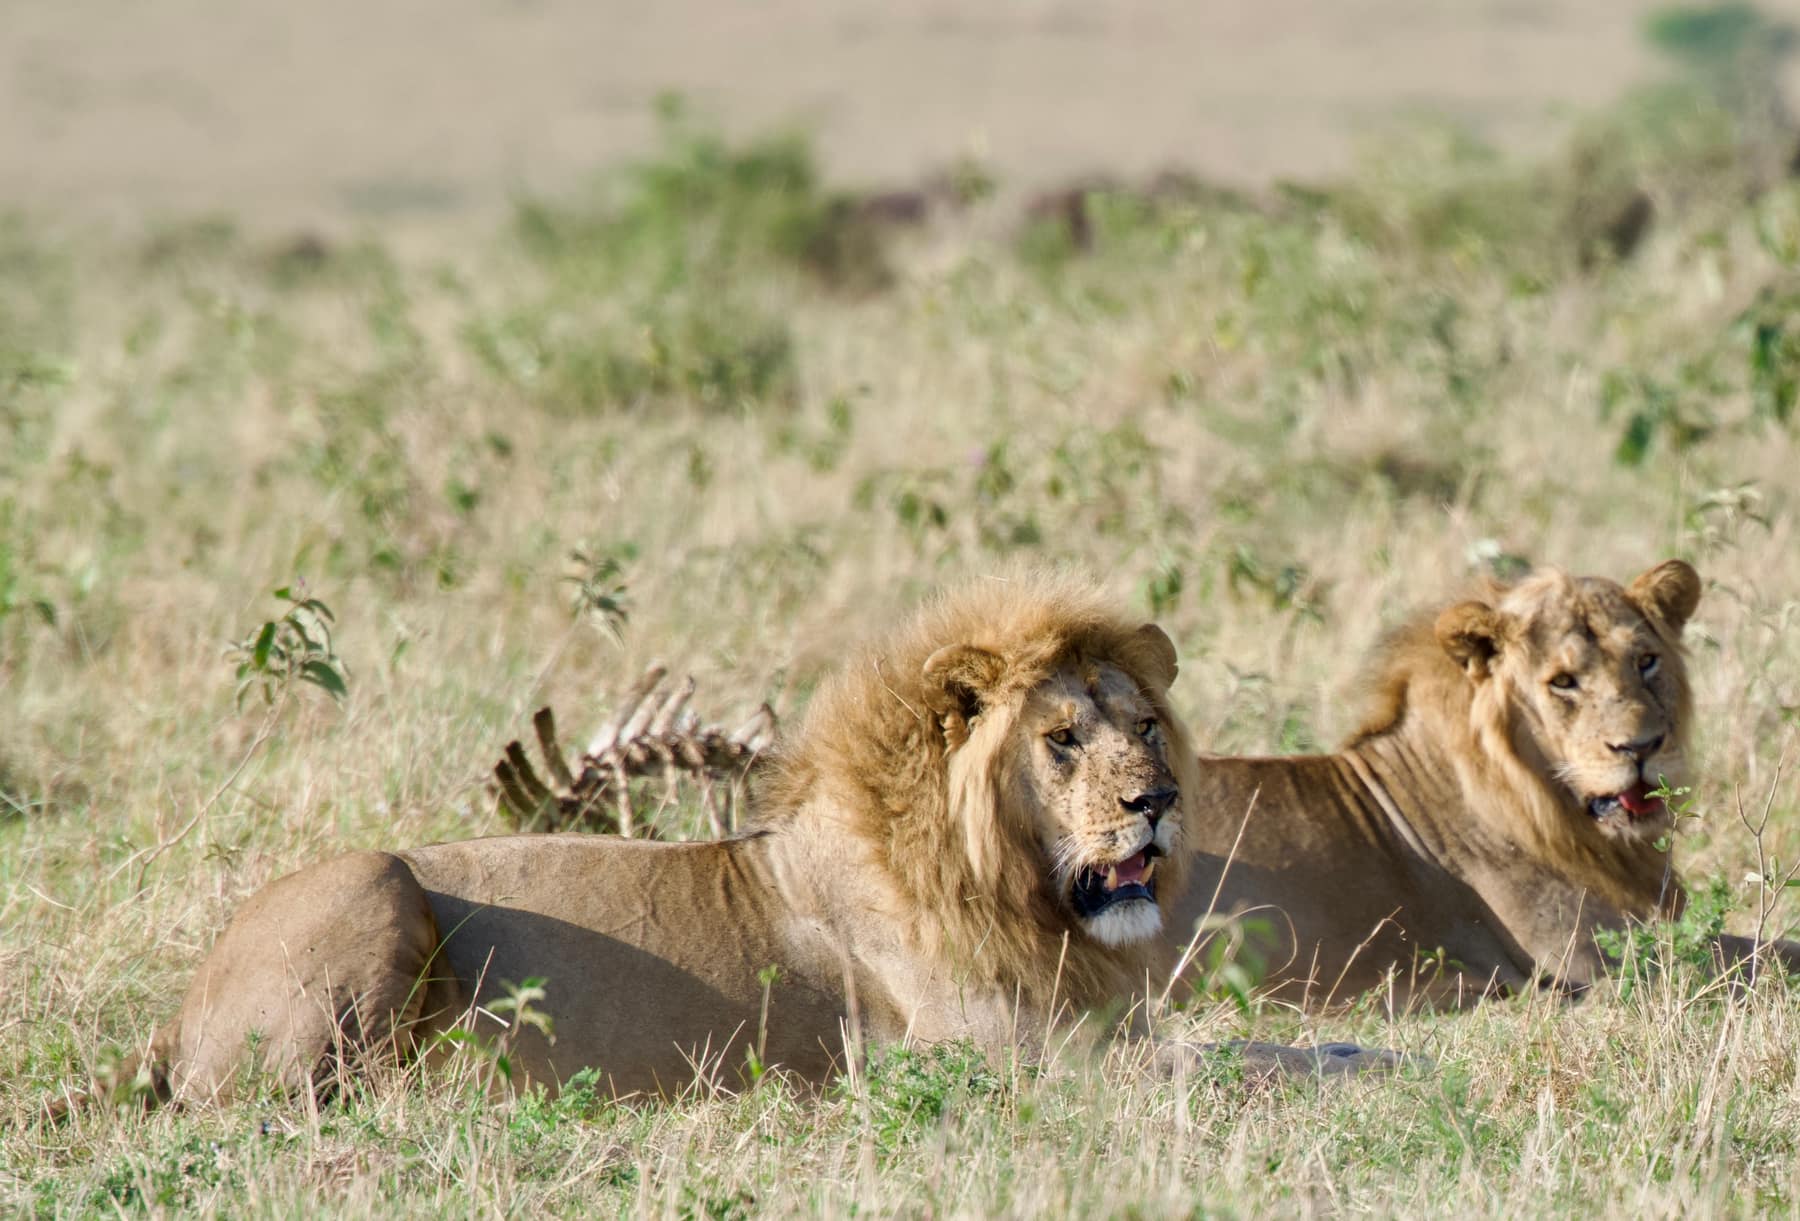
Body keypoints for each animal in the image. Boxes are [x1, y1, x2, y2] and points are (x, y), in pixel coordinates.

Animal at [76, 572, 1246, 1108]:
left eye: (1146, 725)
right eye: (1061, 738)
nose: (1158, 799)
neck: (1012, 888)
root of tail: (179, 1010)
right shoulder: (1018, 1056)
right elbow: (1245, 1061)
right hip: (373, 881)